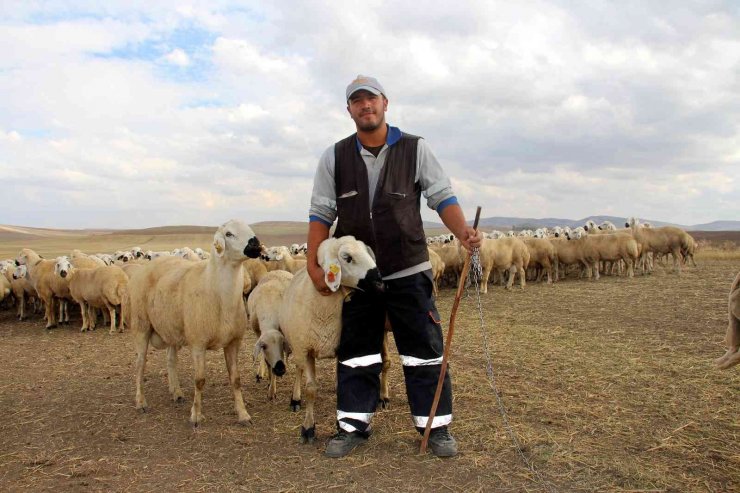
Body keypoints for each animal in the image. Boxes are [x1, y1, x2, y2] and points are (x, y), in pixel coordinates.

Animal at [130, 219, 264, 426]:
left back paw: (176, 392)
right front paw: (195, 416)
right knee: (140, 365)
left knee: (170, 360)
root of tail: (149, 264)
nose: (256, 244)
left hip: (171, 328)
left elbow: (236, 379)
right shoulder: (198, 343)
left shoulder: (234, 342)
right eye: (229, 234)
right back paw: (141, 402)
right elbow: (199, 380)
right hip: (141, 326)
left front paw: (243, 414)